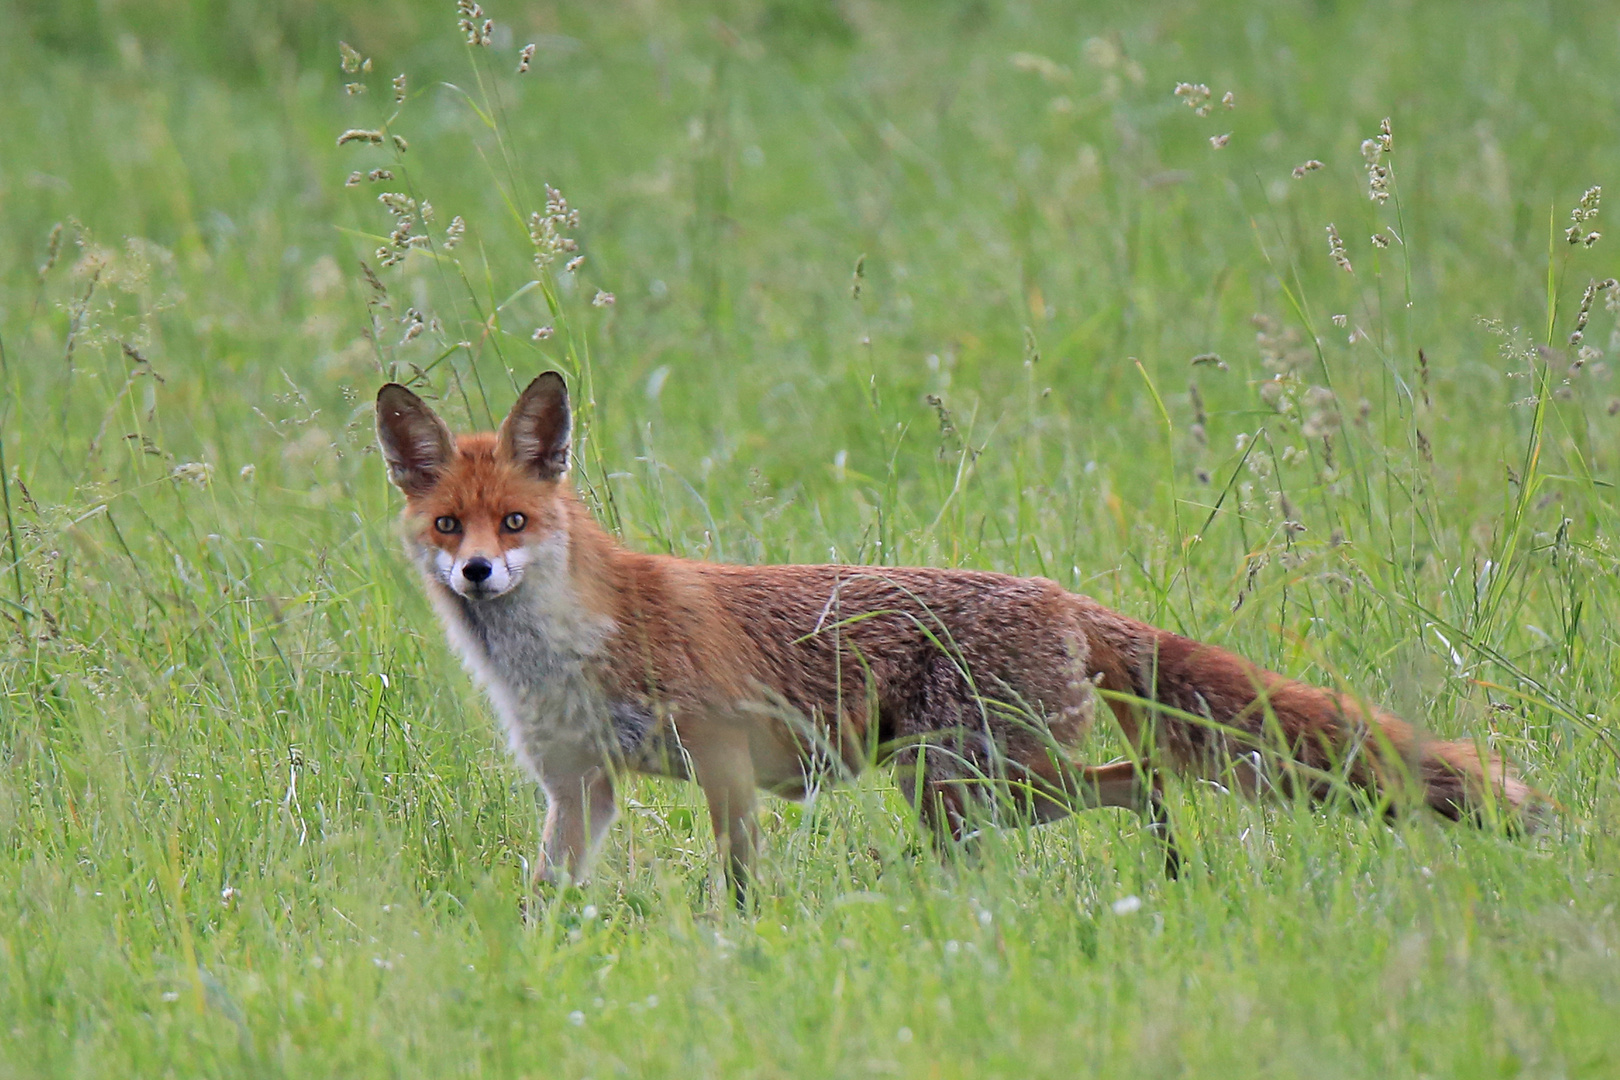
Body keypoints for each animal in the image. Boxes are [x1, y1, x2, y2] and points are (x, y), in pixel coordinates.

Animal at [375, 375, 1542, 900]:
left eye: (514, 522)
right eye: (448, 527)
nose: (476, 574)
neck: (562, 652)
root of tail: (1060, 592)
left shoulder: (720, 756)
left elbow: (737, 878)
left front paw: (734, 944)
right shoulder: (581, 787)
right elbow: (547, 895)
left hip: (973, 776)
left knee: (1144, 779)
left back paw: (1161, 876)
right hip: (959, 789)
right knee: (1113, 794)